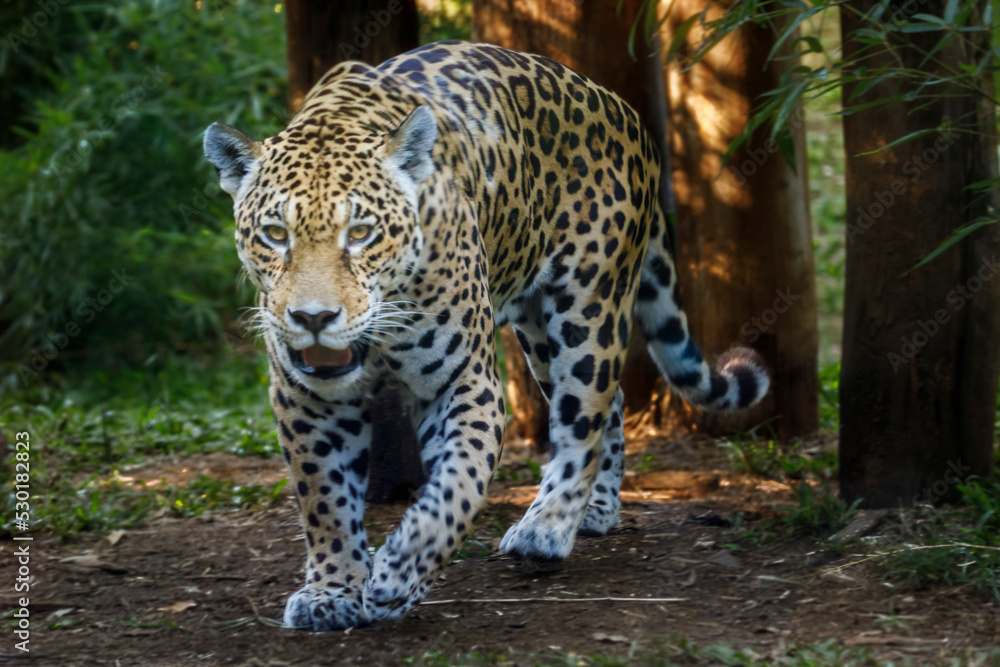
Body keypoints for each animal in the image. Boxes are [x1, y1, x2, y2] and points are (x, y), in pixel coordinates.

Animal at [203, 40, 769, 632]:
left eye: (360, 233)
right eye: (275, 233)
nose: (313, 317)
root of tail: (627, 114)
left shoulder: (462, 382)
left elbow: (458, 485)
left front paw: (400, 572)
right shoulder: (306, 399)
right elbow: (325, 500)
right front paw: (331, 591)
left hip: (588, 309)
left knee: (583, 417)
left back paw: (547, 529)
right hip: (539, 334)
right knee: (608, 408)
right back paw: (595, 511)